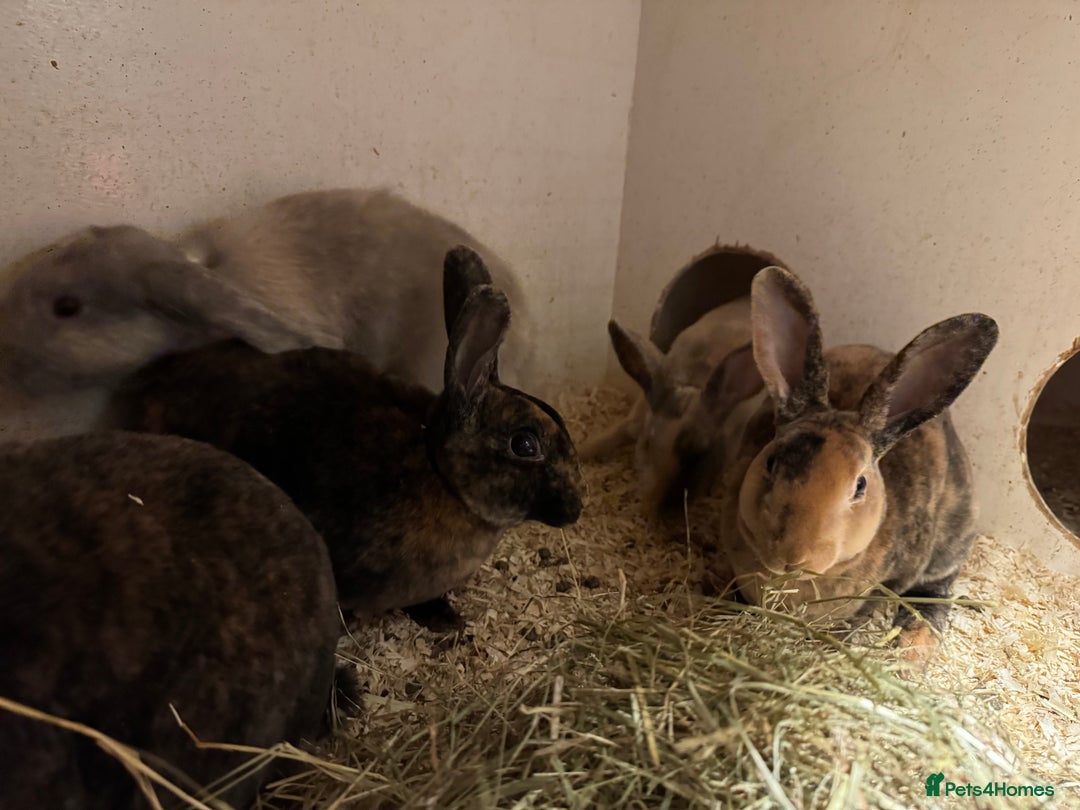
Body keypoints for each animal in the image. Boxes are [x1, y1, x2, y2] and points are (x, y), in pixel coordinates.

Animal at [581, 297, 760, 515]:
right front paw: (580, 450)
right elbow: (604, 438)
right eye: (647, 444)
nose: (658, 509)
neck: (694, 383)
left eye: (700, 451)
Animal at [708, 266, 998, 658]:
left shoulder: (891, 580)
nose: (792, 556)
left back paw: (912, 645)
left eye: (859, 486)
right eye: (771, 462)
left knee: (935, 592)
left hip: (951, 540)